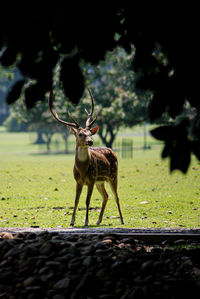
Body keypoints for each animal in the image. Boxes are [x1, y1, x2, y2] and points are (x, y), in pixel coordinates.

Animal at [48, 88, 123, 226]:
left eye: (90, 133)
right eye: (80, 134)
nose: (90, 141)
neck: (82, 170)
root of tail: (112, 150)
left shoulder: (91, 179)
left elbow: (87, 201)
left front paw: (86, 221)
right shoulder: (78, 181)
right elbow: (76, 200)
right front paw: (72, 222)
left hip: (113, 175)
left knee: (116, 196)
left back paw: (121, 220)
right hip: (100, 181)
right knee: (106, 196)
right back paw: (98, 221)